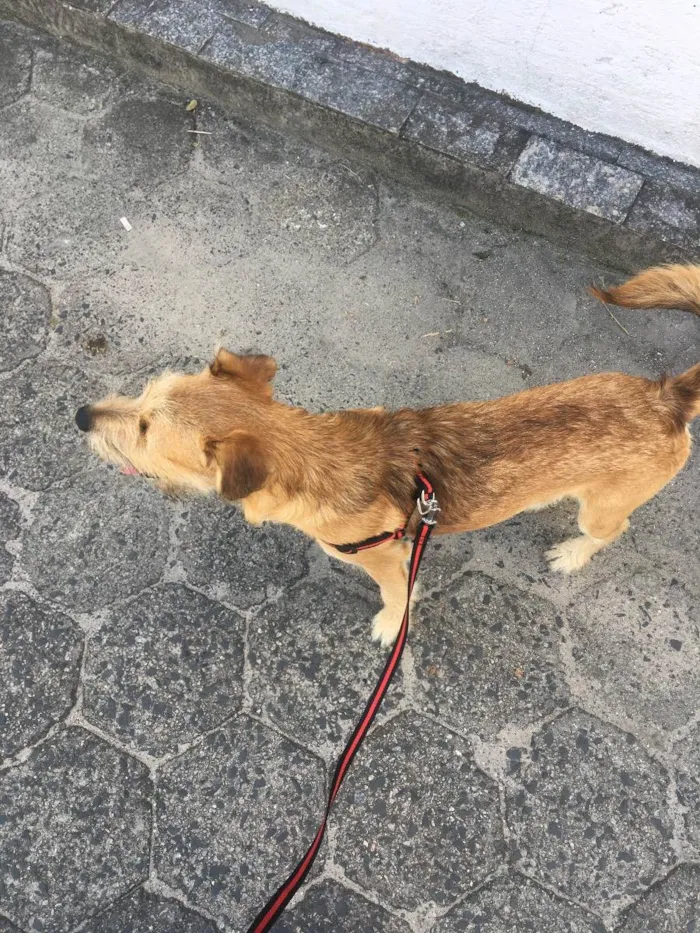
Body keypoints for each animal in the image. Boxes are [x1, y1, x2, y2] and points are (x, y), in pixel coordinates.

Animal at [76, 262, 700, 640]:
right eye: (143, 395)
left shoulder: (387, 560)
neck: (315, 456)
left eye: (145, 431)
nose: (81, 416)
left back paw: (572, 553)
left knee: (609, 531)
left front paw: (389, 623)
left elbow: (396, 597)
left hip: (603, 510)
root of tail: (667, 396)